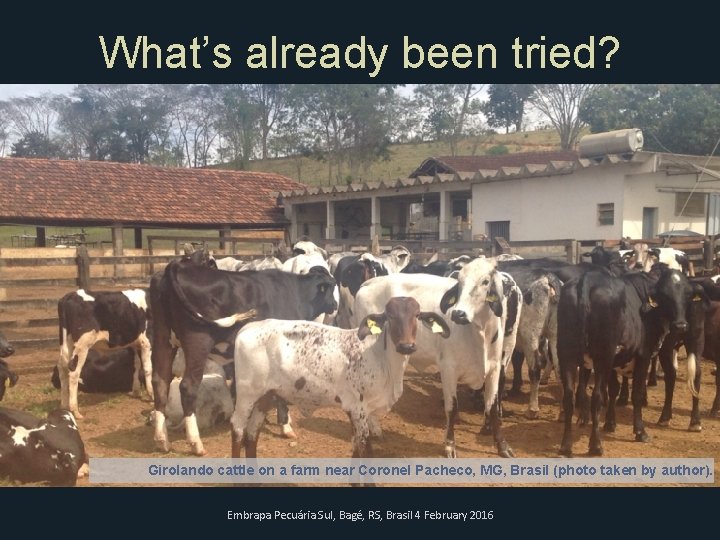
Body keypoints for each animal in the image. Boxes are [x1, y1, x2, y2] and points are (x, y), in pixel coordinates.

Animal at [58, 286, 153, 418]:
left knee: (62, 369)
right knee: (73, 372)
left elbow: (136, 366)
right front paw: (151, 396)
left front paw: (136, 391)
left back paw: (64, 406)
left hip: (66, 342)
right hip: (82, 345)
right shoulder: (147, 341)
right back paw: (75, 411)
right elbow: (148, 369)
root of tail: (69, 295)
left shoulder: (135, 343)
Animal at [150, 253, 340, 456]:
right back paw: (196, 443)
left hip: (163, 340)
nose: (335, 305)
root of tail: (177, 265)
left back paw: (162, 440)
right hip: (197, 342)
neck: (296, 293)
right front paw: (286, 426)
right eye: (332, 287)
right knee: (187, 387)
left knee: (160, 382)